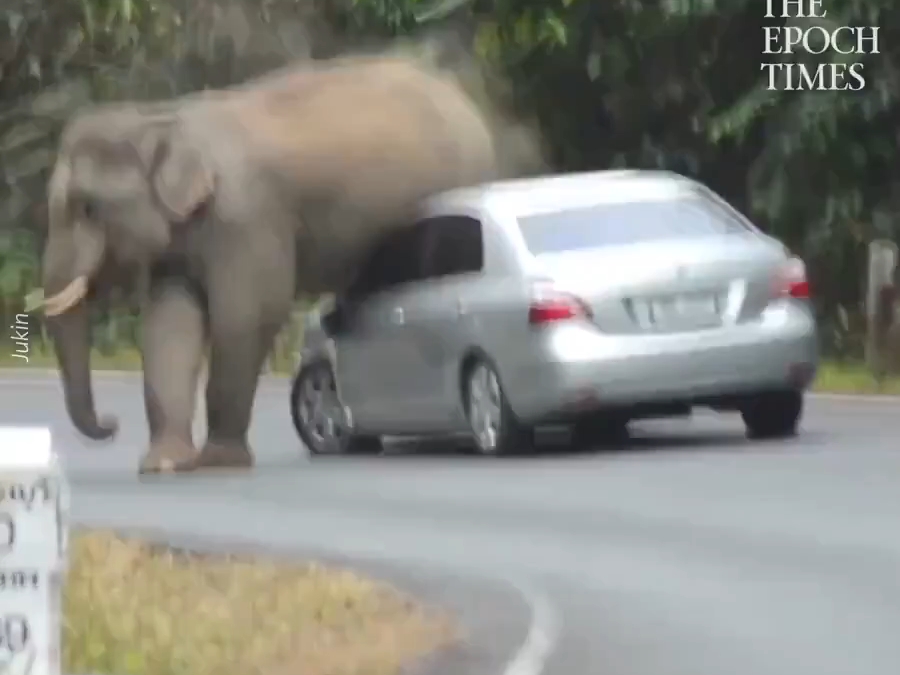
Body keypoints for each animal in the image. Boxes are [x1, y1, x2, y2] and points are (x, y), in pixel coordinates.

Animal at [40, 52, 500, 472]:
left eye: (87, 208)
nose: (112, 423)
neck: (162, 117)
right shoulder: (179, 238)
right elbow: (169, 323)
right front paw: (164, 464)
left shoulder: (247, 216)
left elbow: (246, 314)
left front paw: (219, 461)